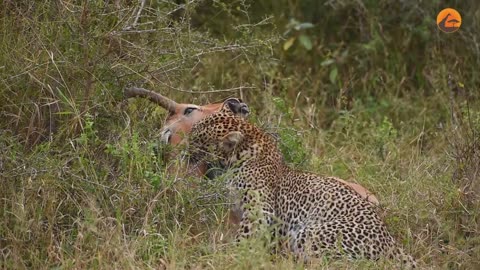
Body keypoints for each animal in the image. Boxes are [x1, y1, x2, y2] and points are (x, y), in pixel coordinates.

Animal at [189, 107, 418, 268]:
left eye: (196, 138)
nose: (184, 146)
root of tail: (392, 243)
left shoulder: (259, 212)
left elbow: (242, 239)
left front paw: (225, 255)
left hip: (311, 233)